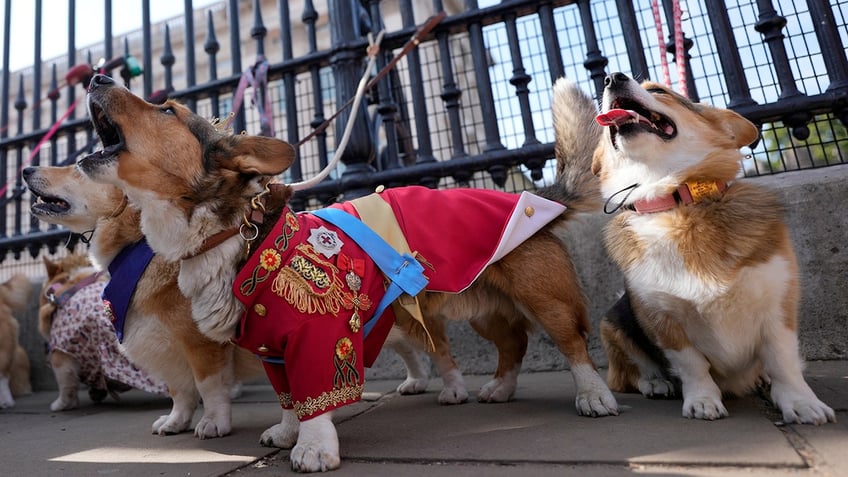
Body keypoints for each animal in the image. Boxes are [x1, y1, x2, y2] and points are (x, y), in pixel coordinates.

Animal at [73, 72, 616, 470]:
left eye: (167, 110)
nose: (97, 75)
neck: (234, 233)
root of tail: (534, 196)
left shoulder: (317, 336)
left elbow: (312, 393)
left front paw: (312, 447)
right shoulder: (272, 348)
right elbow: (288, 396)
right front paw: (288, 431)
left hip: (544, 297)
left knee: (571, 344)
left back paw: (594, 396)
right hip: (483, 306)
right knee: (513, 343)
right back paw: (500, 388)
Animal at [588, 71, 836, 424]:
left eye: (658, 90)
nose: (611, 76)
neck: (676, 202)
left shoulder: (779, 306)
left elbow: (783, 360)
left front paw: (801, 403)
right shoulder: (664, 319)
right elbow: (692, 365)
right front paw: (703, 401)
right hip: (613, 323)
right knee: (630, 373)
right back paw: (656, 382)